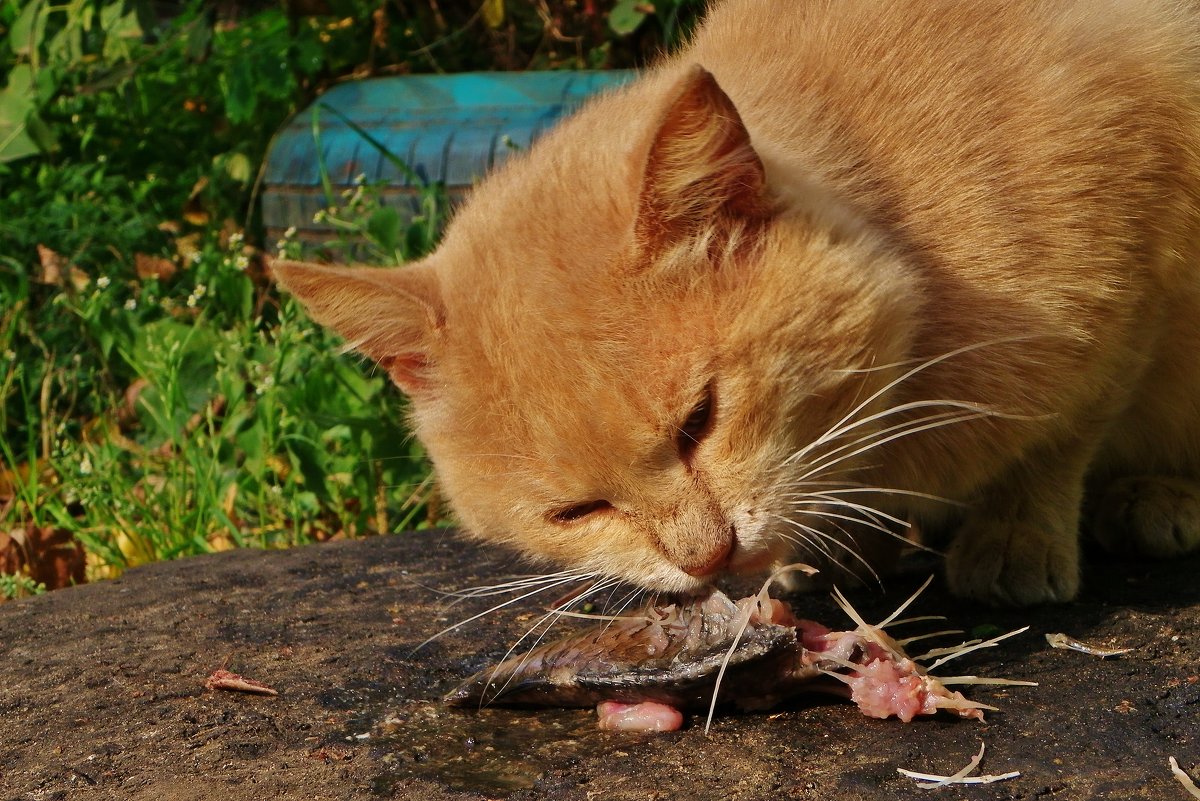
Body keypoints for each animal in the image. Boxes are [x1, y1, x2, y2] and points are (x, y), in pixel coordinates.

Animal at [272, 0, 1200, 604]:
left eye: (700, 420)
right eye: (576, 510)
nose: (707, 560)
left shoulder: (1141, 258)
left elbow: (1060, 434)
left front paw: (1015, 531)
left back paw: (1156, 498)